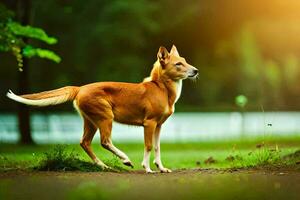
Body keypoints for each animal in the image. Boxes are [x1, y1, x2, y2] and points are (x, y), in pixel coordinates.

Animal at [6, 45, 197, 172]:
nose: (196, 71)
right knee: (105, 141)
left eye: (185, 61)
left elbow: (157, 147)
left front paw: (162, 169)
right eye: (178, 64)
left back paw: (103, 165)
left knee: (85, 142)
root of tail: (79, 88)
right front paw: (147, 168)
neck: (162, 89)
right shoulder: (149, 123)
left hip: (90, 120)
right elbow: (149, 145)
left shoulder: (159, 125)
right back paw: (125, 160)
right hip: (105, 116)